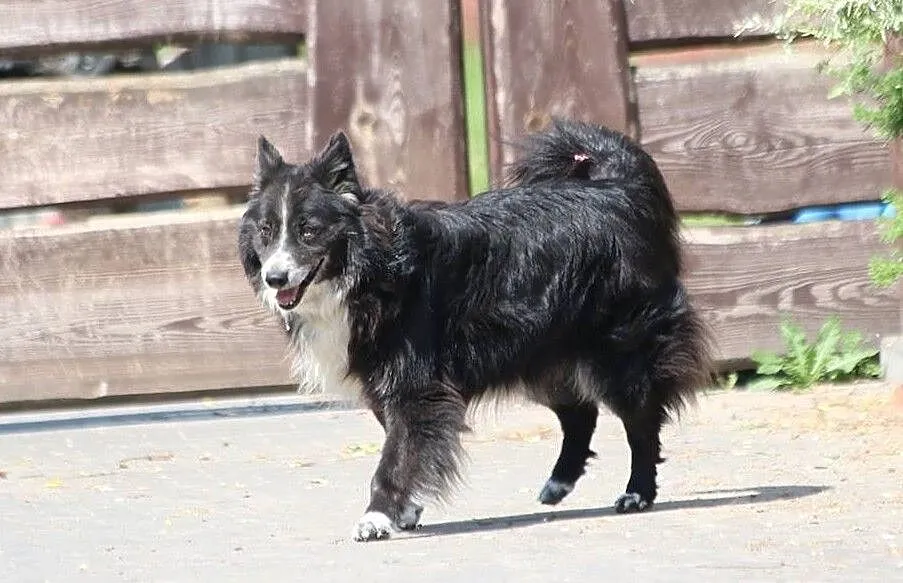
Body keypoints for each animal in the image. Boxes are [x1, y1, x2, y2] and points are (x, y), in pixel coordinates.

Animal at [238, 119, 713, 542]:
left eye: (309, 230)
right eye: (266, 231)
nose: (274, 278)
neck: (367, 265)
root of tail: (618, 188)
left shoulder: (416, 387)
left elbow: (395, 454)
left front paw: (377, 517)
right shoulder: (387, 384)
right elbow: (404, 444)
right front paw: (405, 510)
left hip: (620, 349)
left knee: (641, 420)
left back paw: (637, 492)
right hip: (540, 352)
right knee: (581, 414)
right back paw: (559, 482)